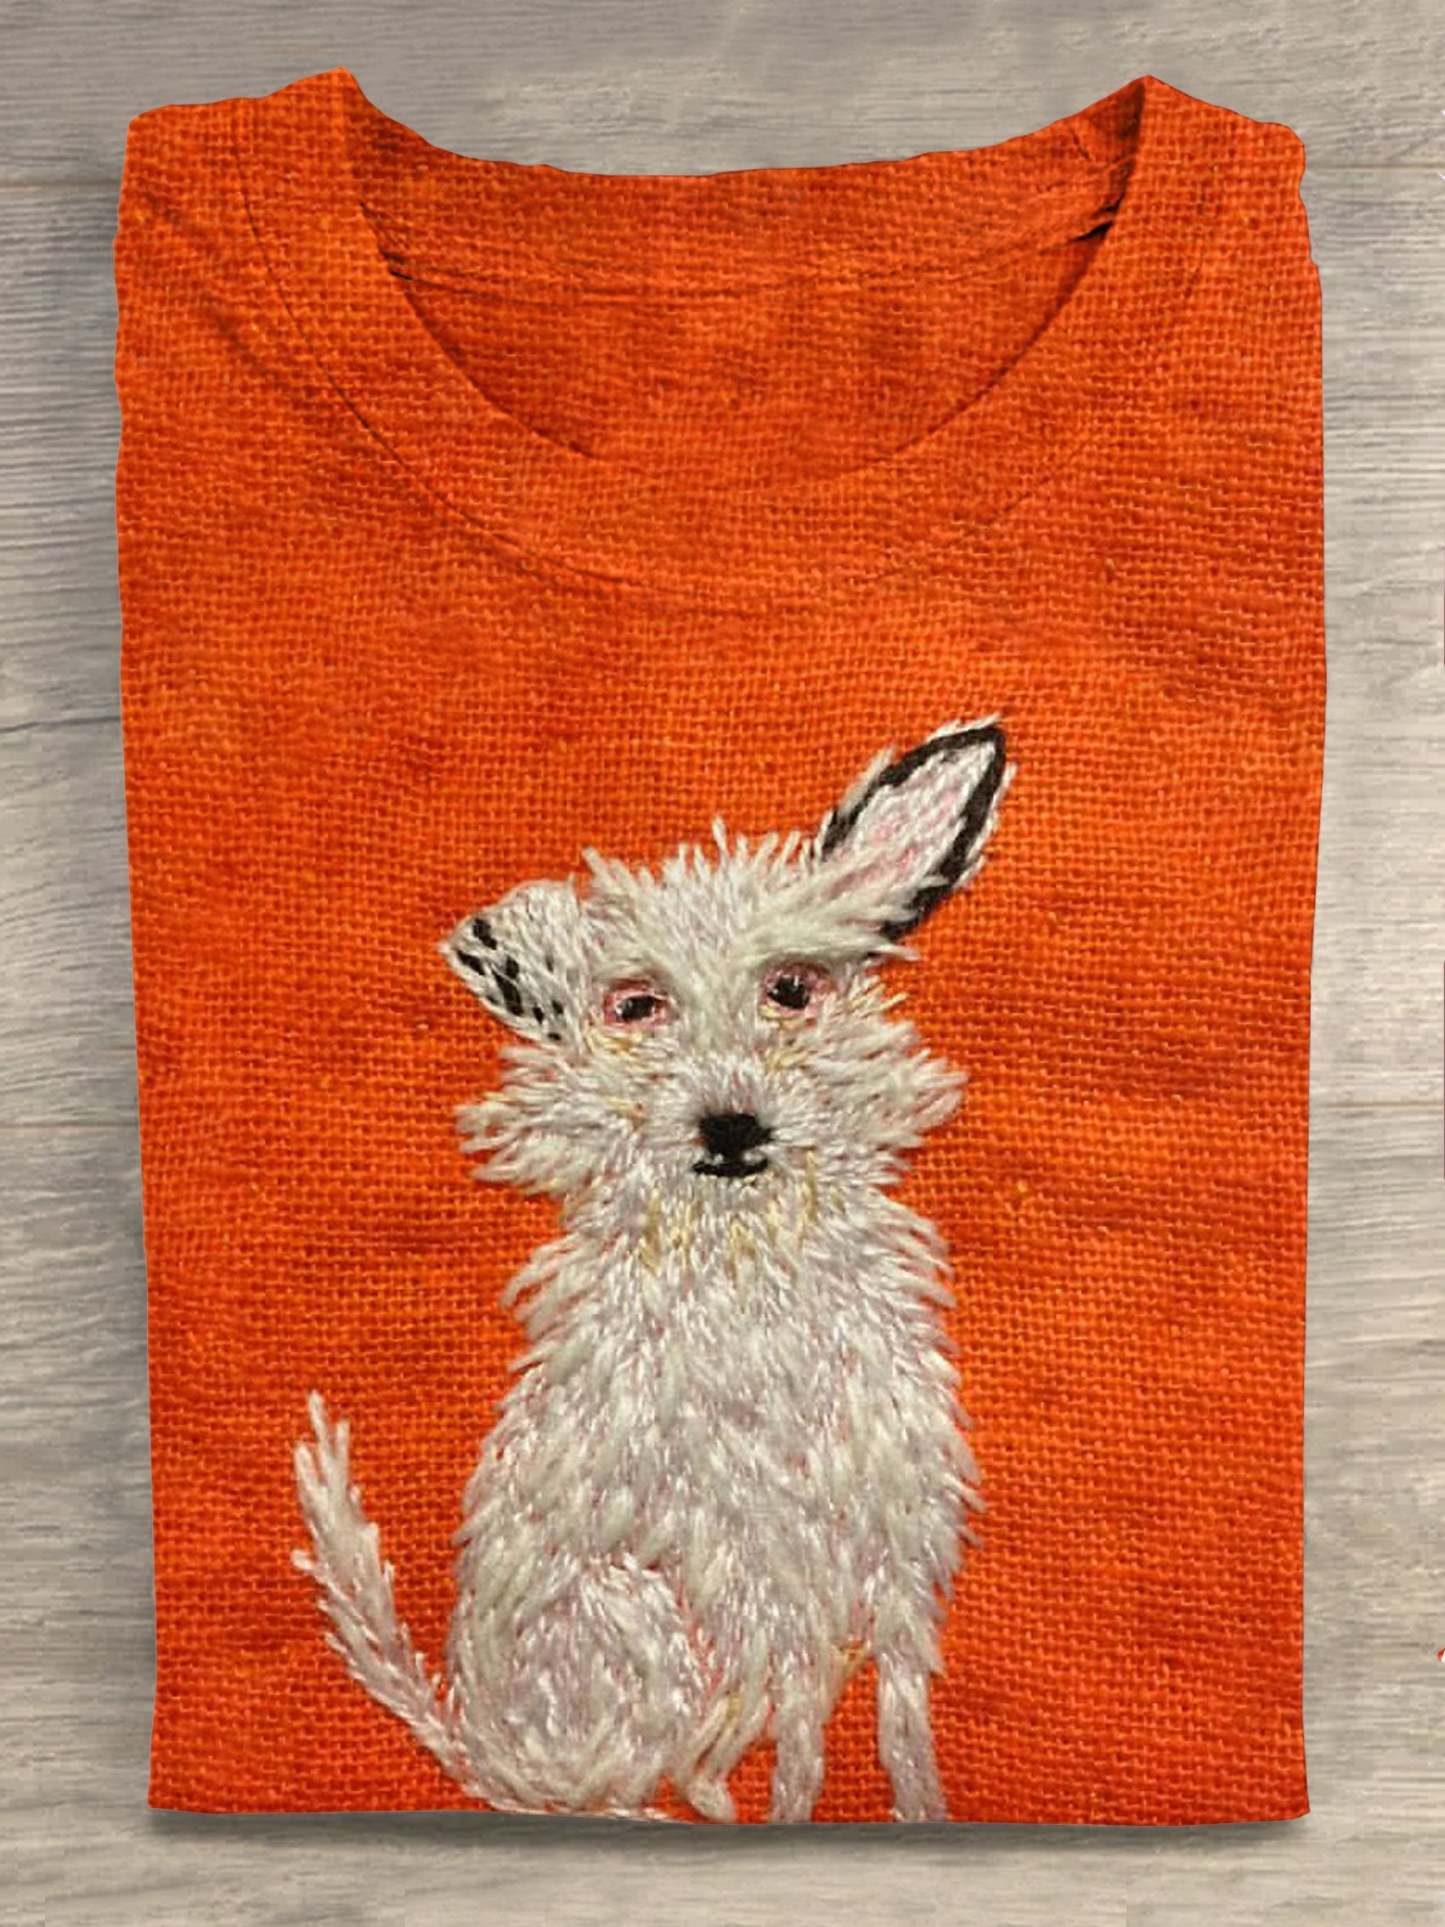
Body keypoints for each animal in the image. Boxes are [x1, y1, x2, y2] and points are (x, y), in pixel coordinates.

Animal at [294, 717, 1013, 1823]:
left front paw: (917, 1810)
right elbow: (798, 1762)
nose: (732, 1123)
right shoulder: (767, 1580)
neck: (747, 1262)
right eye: (635, 1006)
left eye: (791, 987)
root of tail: (476, 1743)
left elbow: (895, 1736)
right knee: (616, 1782)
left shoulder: (893, 1559)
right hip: (641, 1617)